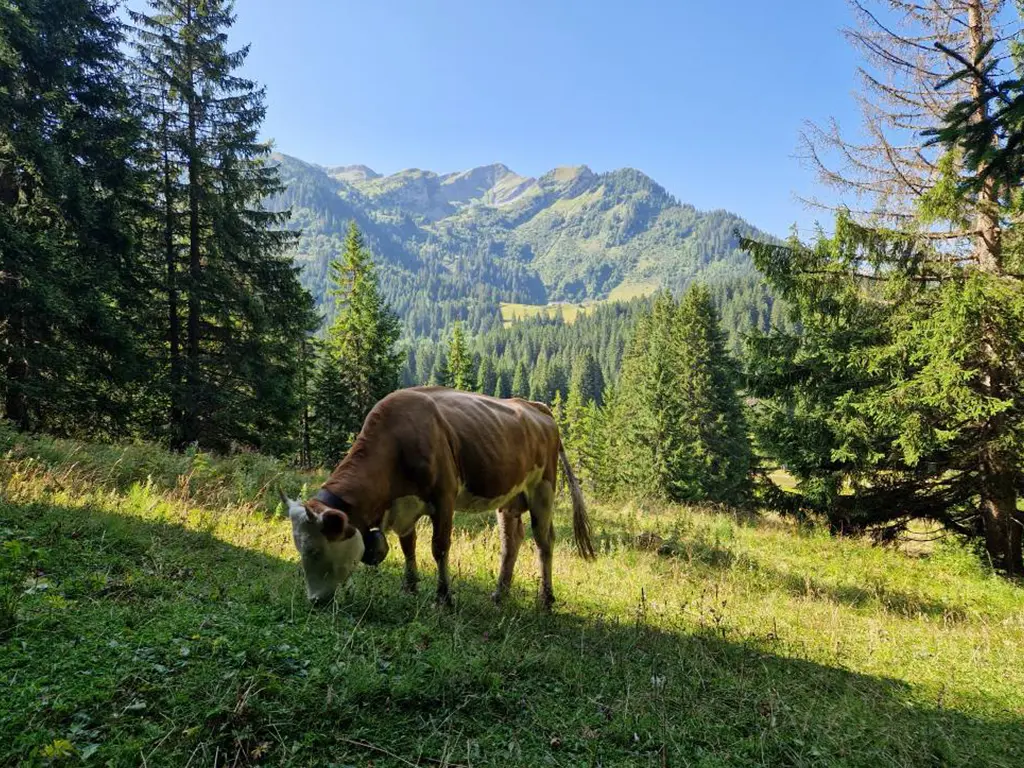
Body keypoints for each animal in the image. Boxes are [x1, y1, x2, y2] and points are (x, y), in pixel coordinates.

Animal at [278, 386, 595, 609]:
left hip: (543, 488)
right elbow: (408, 546)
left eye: (315, 551)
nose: (315, 601)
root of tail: (534, 406)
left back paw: (546, 598)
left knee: (544, 540)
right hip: (510, 496)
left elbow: (439, 547)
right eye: (299, 548)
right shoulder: (404, 506)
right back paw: (499, 593)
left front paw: (443, 597)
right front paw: (409, 587)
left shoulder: (445, 497)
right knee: (512, 541)